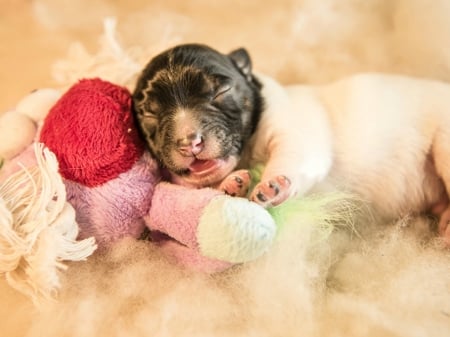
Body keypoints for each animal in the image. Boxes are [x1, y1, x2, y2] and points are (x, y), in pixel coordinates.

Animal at [133, 43, 450, 243]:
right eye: (149, 112)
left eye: (221, 91)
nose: (190, 142)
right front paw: (231, 185)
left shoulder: (295, 131)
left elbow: (291, 154)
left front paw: (273, 185)